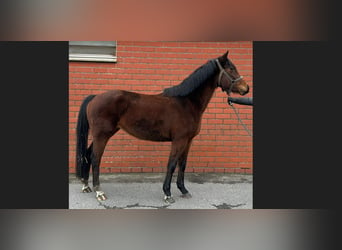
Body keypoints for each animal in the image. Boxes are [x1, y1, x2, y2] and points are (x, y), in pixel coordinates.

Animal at [76, 51, 250, 203]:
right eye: (231, 69)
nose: (246, 88)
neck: (187, 102)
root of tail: (95, 97)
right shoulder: (179, 140)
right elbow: (172, 164)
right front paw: (167, 193)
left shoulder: (188, 141)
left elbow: (182, 164)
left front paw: (183, 190)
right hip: (102, 135)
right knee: (95, 158)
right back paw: (99, 191)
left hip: (103, 134)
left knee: (88, 154)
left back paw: (85, 185)